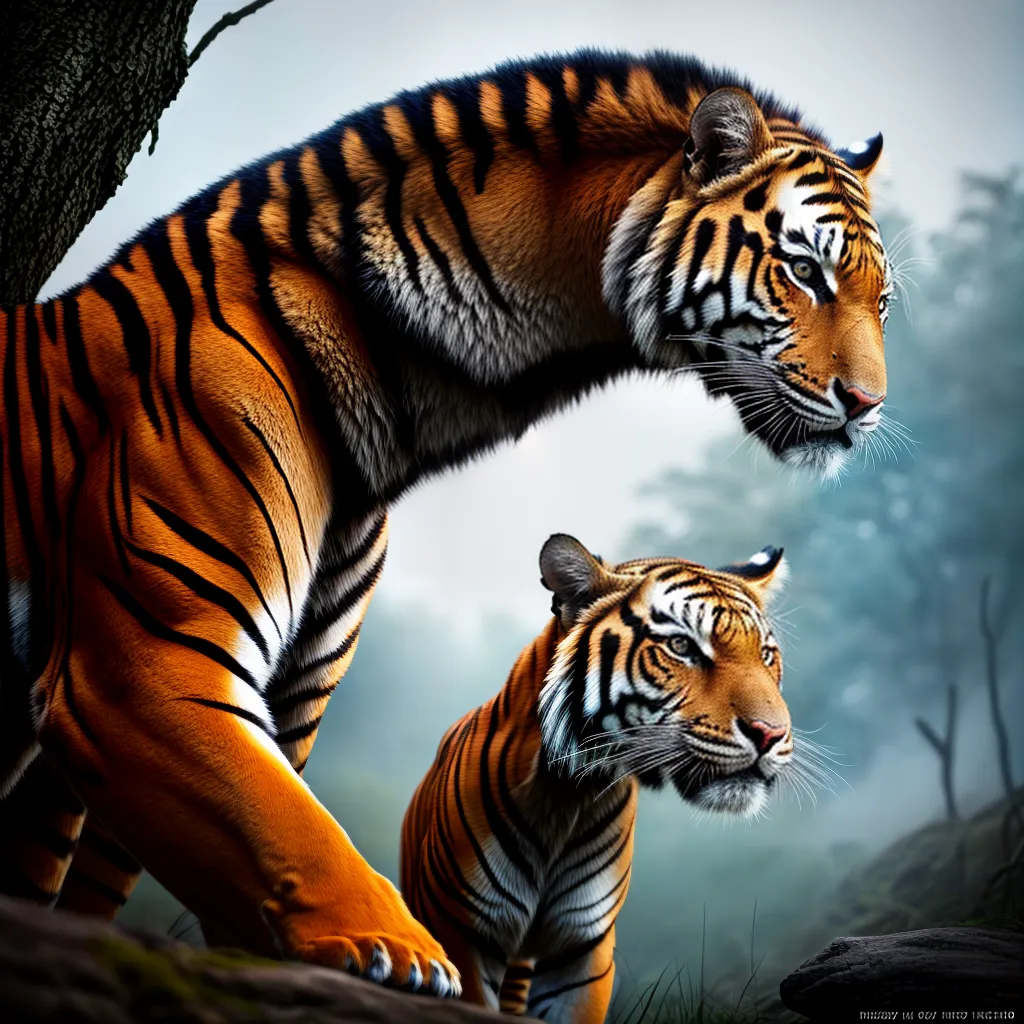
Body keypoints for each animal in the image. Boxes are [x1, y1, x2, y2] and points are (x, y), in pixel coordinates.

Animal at [400, 534, 791, 1021]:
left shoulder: (583, 949)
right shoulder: (463, 933)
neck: (568, 797)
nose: (772, 734)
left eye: (766, 655)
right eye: (681, 646)